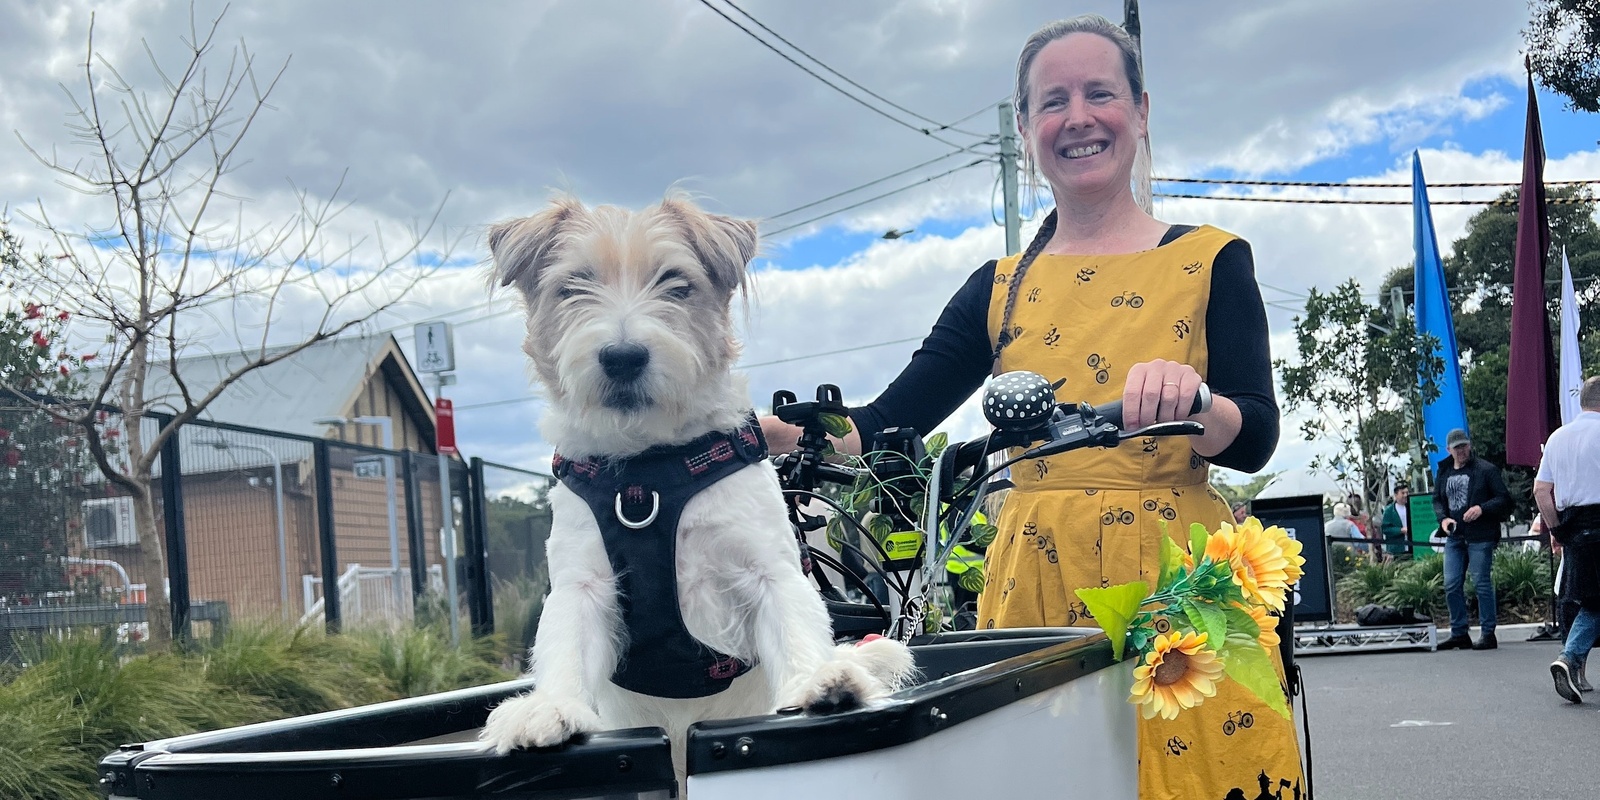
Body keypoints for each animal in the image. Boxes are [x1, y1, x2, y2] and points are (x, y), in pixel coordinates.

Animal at [476, 195, 915, 787]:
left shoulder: (768, 569)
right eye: (573, 286)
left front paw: (815, 681)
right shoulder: (582, 587)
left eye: (676, 284)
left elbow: (794, 622)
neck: (648, 470)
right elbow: (567, 645)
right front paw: (550, 707)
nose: (622, 356)